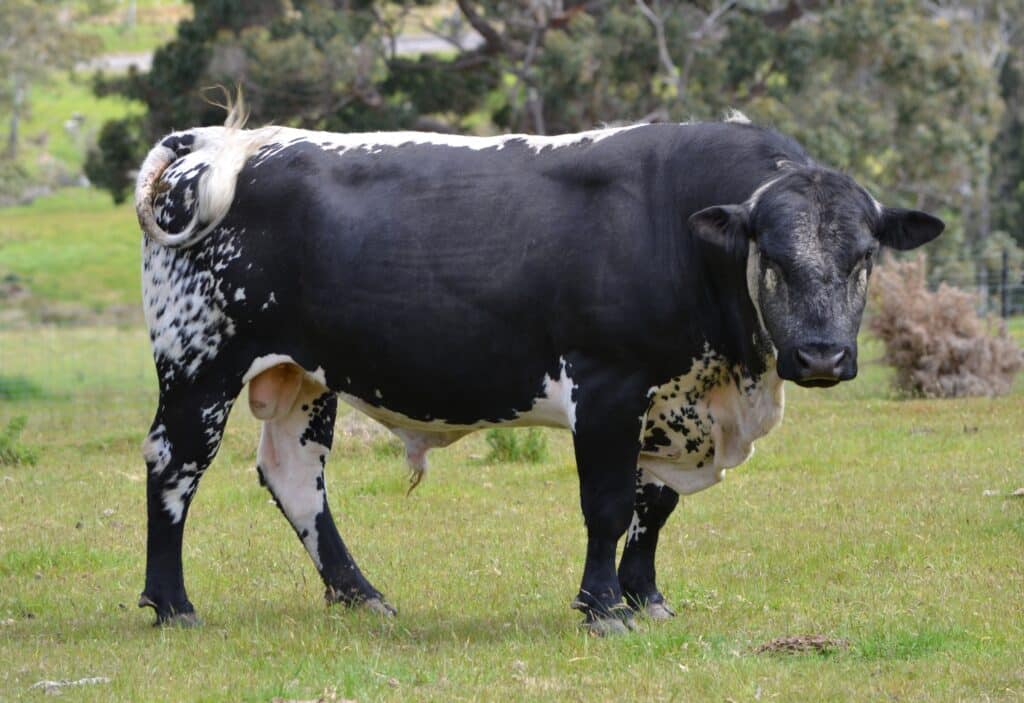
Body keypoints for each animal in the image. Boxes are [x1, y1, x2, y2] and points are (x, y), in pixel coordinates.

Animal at [134, 106, 943, 634]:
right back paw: (172, 605)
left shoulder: (672, 403)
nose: (821, 356)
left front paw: (646, 598)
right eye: (770, 256)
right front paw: (604, 608)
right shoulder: (609, 382)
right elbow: (609, 504)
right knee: (175, 465)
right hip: (199, 362)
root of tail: (222, 141)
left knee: (296, 476)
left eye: (863, 257)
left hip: (304, 374)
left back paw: (361, 595)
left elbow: (654, 506)